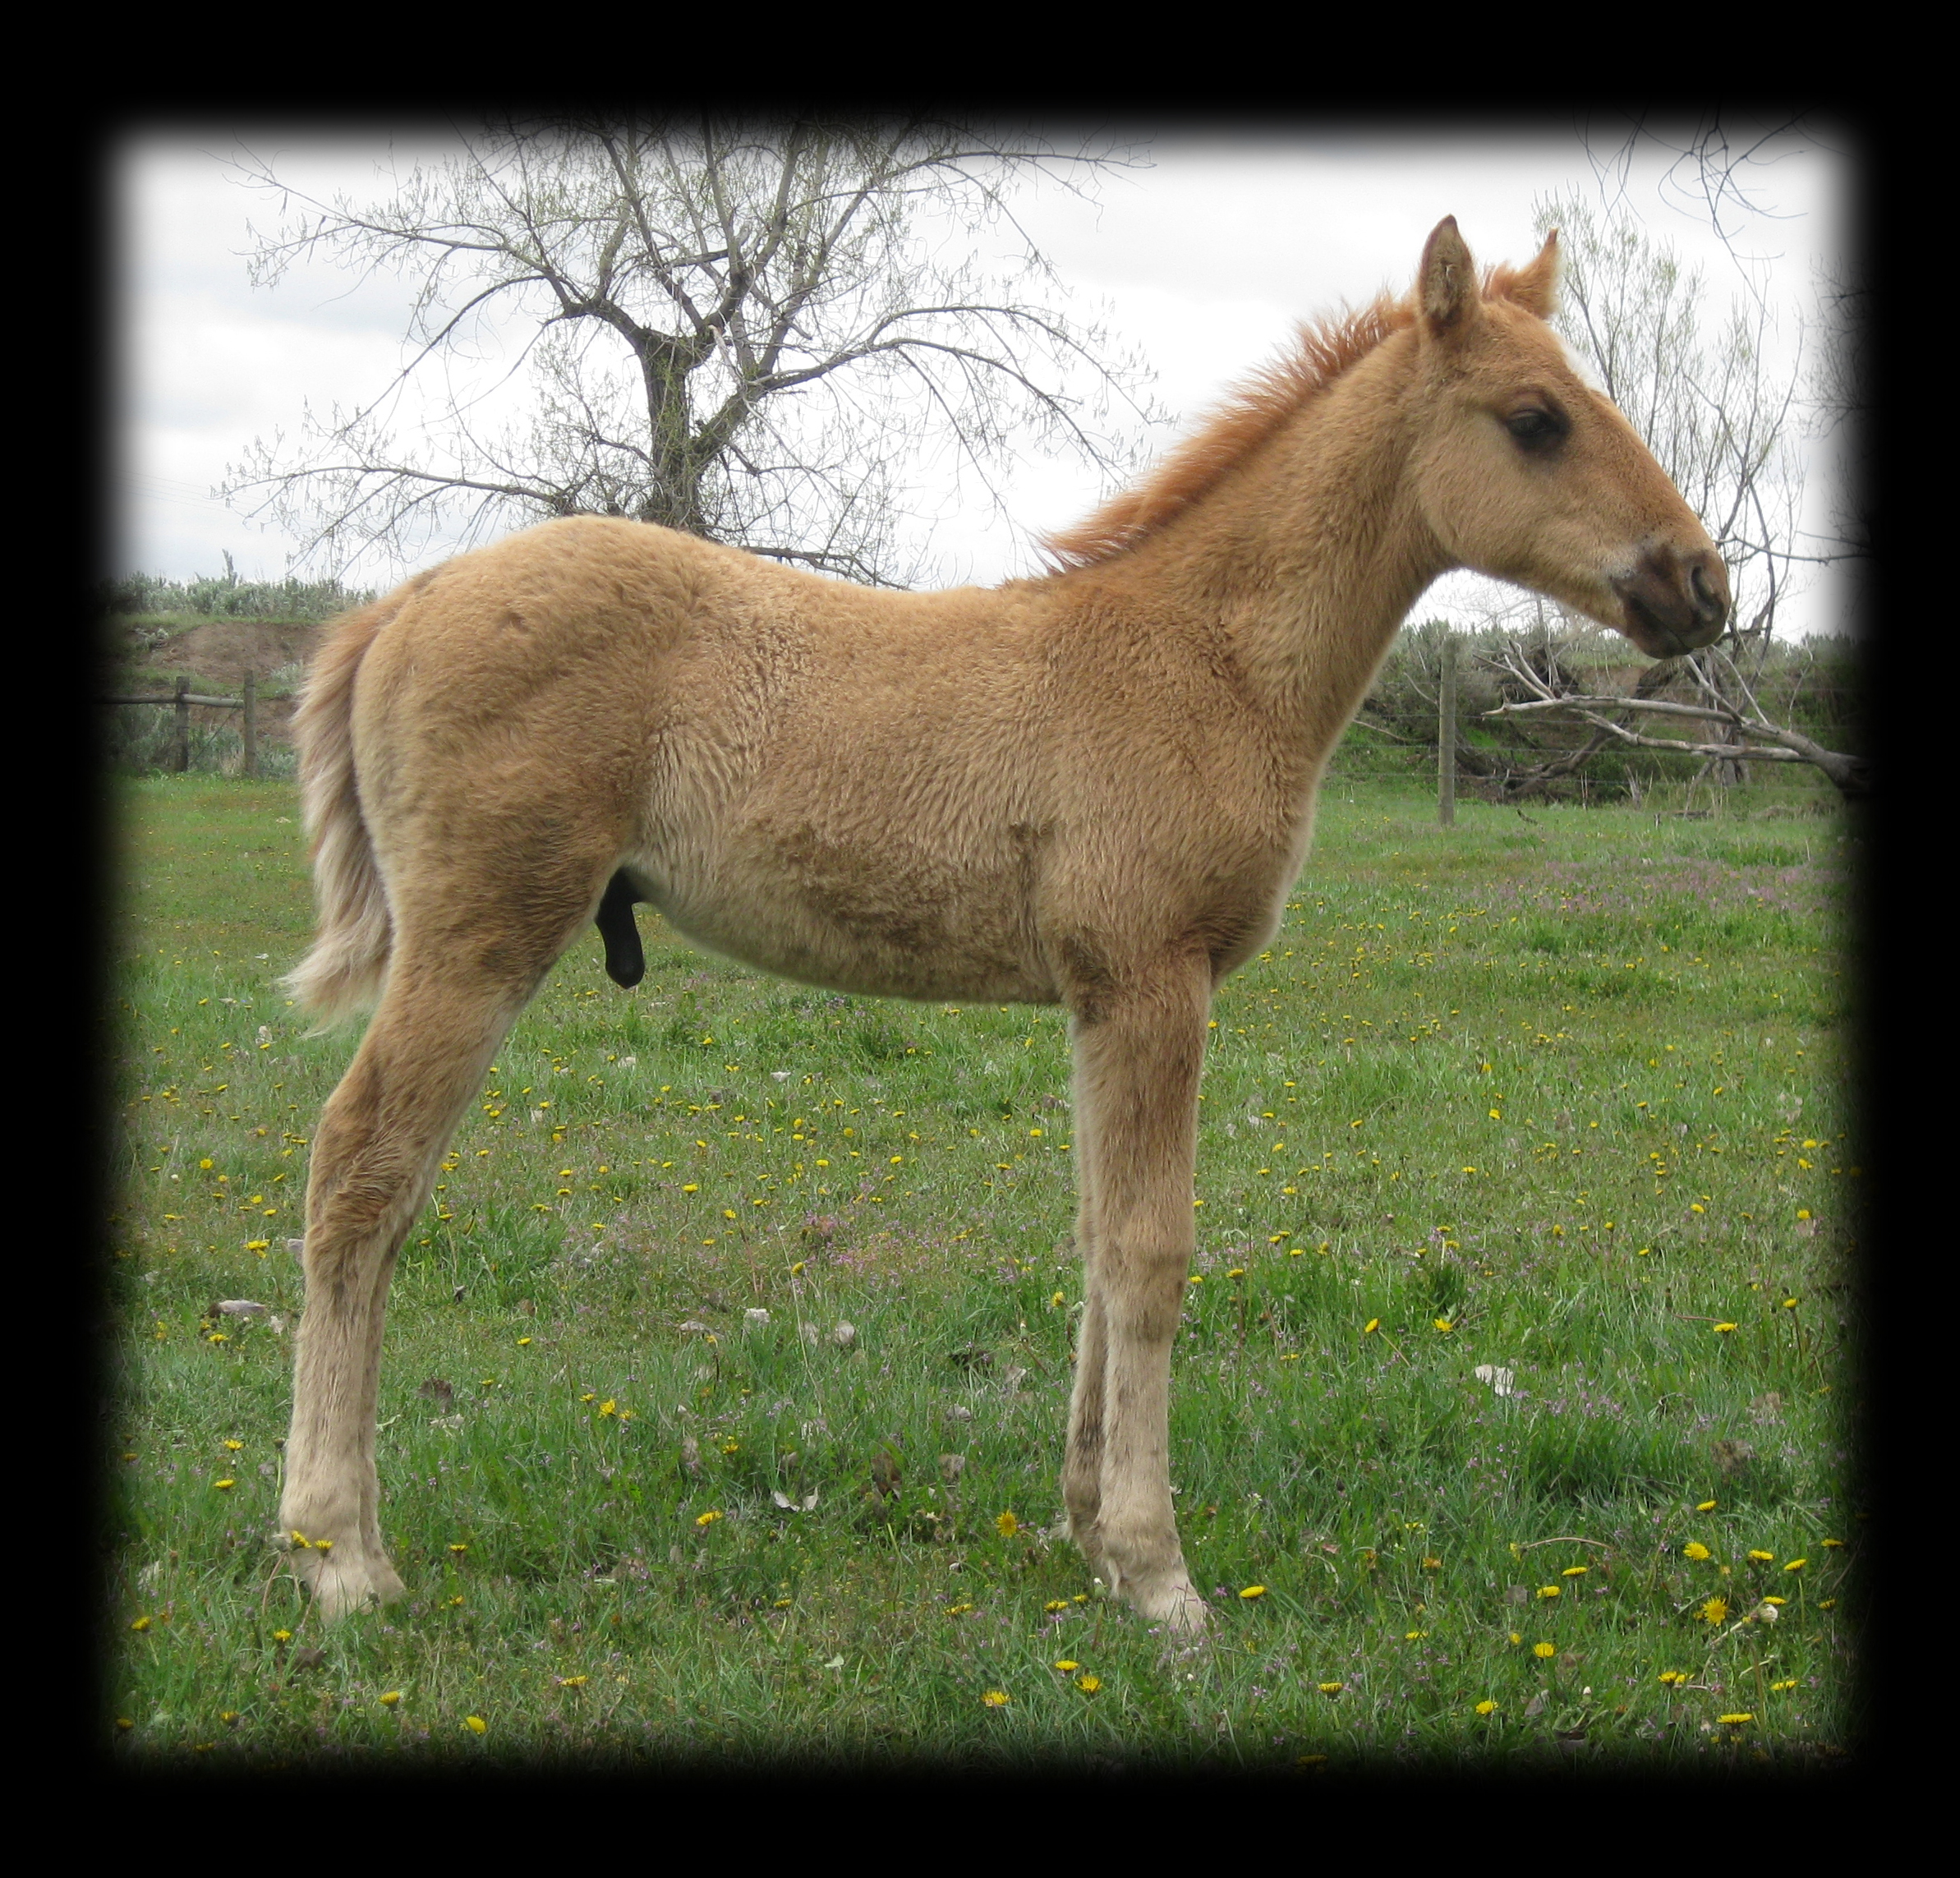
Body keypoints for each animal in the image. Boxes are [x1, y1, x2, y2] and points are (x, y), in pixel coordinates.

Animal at [276, 217, 1728, 1627]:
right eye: (1536, 418)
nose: (1701, 583)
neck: (1200, 658)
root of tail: (404, 601)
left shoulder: (1099, 997)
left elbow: (1094, 1238)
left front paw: (1088, 1533)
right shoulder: (1153, 980)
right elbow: (1150, 1251)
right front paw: (1158, 1571)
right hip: (477, 940)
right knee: (362, 1175)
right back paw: (340, 1555)